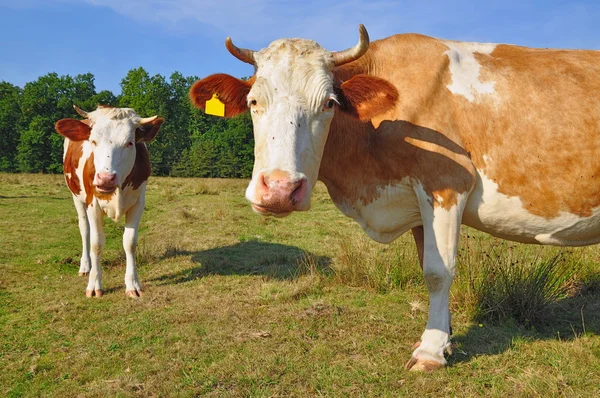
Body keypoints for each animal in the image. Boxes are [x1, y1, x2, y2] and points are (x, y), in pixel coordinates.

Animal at [55, 105, 163, 298]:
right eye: (93, 141)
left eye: (130, 142)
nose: (106, 178)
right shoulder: (93, 204)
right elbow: (96, 243)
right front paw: (94, 284)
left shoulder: (138, 203)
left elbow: (130, 242)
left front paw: (132, 284)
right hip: (77, 197)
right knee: (85, 229)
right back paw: (85, 266)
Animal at [190, 26, 600, 372]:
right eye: (253, 101)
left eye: (329, 103)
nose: (279, 189)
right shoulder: (417, 206)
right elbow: (427, 264)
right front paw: (444, 340)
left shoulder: (445, 184)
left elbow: (438, 272)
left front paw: (431, 353)